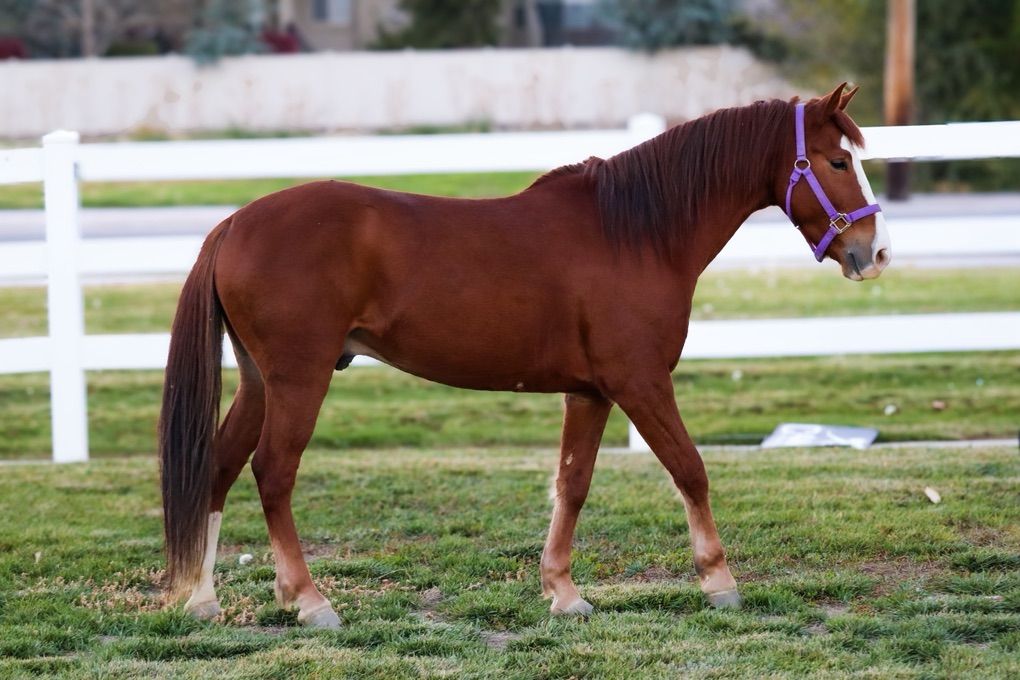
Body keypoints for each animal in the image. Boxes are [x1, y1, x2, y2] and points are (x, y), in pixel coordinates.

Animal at [159, 83, 890, 627]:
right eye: (836, 162)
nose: (874, 253)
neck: (636, 234)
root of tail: (234, 223)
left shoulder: (590, 391)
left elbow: (573, 484)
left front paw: (563, 591)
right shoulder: (641, 382)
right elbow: (691, 470)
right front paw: (719, 582)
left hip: (260, 383)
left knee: (219, 466)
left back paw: (205, 598)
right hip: (299, 380)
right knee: (273, 472)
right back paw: (310, 601)